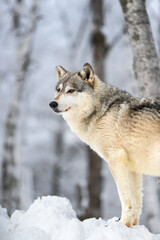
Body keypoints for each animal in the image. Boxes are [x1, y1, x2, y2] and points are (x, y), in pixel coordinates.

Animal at [49, 62, 160, 228]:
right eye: (58, 90)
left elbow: (124, 197)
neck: (102, 111)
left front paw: (123, 224)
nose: (52, 103)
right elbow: (136, 200)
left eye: (71, 90)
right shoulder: (133, 168)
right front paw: (131, 226)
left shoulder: (115, 159)